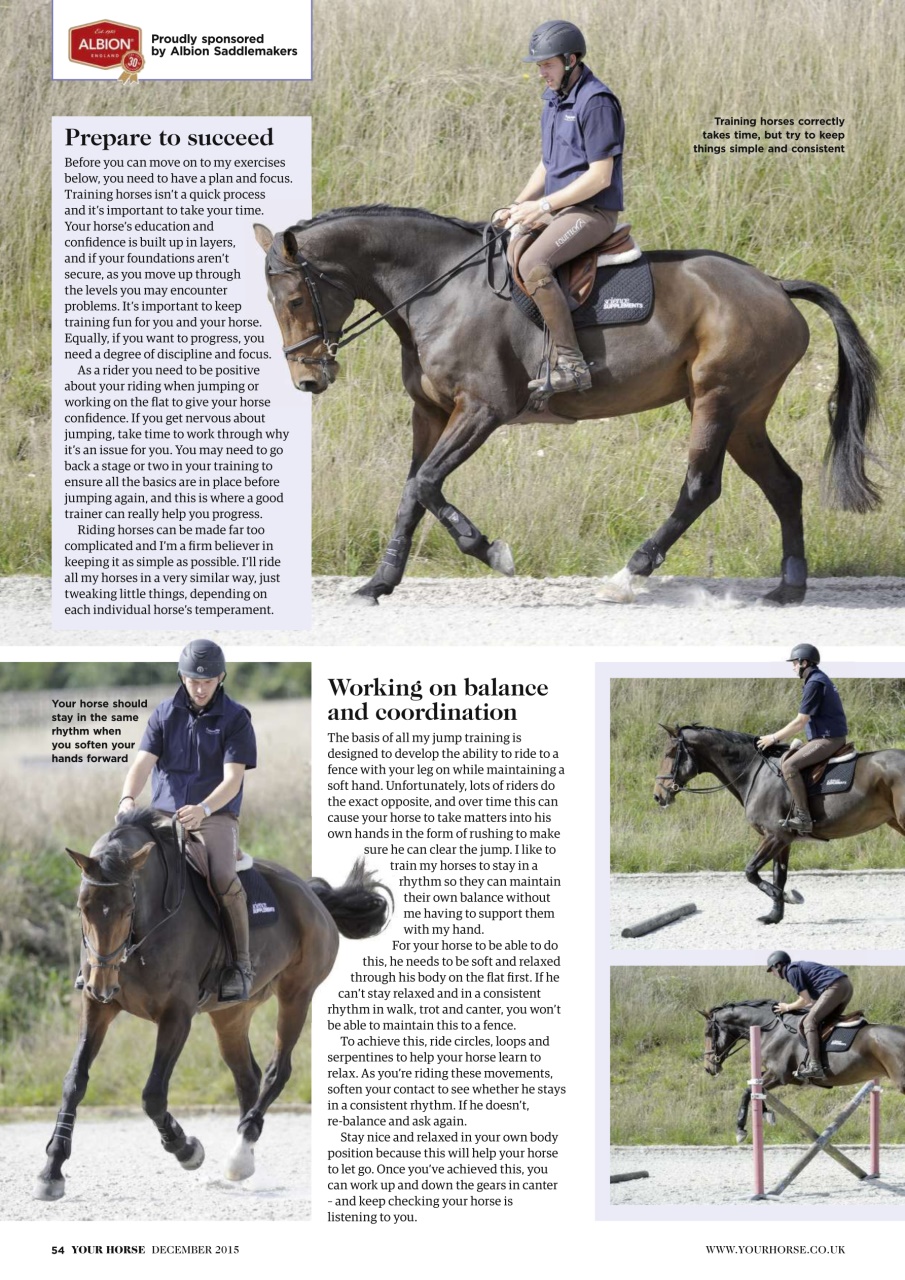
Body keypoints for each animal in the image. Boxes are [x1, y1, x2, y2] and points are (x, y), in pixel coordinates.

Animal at [33, 808, 391, 1202]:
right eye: (83, 908)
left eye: (127, 909)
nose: (101, 985)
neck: (146, 929)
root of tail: (310, 895)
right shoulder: (97, 1008)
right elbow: (74, 1082)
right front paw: (52, 1169)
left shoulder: (176, 1015)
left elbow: (153, 1095)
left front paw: (186, 1148)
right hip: (230, 1014)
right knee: (247, 1077)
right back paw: (245, 1155)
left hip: (297, 995)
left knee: (276, 1070)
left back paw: (239, 1156)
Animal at [253, 205, 880, 607]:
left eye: (294, 299)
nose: (307, 379)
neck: (439, 291)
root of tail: (775, 285)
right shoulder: (428, 413)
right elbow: (412, 491)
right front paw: (379, 583)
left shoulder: (482, 410)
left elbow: (427, 483)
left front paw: (491, 552)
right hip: (747, 414)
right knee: (784, 485)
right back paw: (789, 588)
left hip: (716, 401)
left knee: (701, 488)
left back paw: (627, 576)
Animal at [653, 724, 905, 924]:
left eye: (670, 753)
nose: (658, 796)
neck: (754, 772)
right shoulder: (783, 841)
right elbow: (778, 876)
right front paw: (774, 915)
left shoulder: (775, 835)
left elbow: (751, 872)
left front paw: (787, 897)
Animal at [702, 998, 905, 1144]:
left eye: (707, 1033)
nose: (708, 1067)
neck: (770, 1028)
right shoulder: (772, 1073)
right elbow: (755, 1087)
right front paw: (767, 1114)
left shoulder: (778, 1075)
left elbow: (747, 1091)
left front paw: (740, 1130)